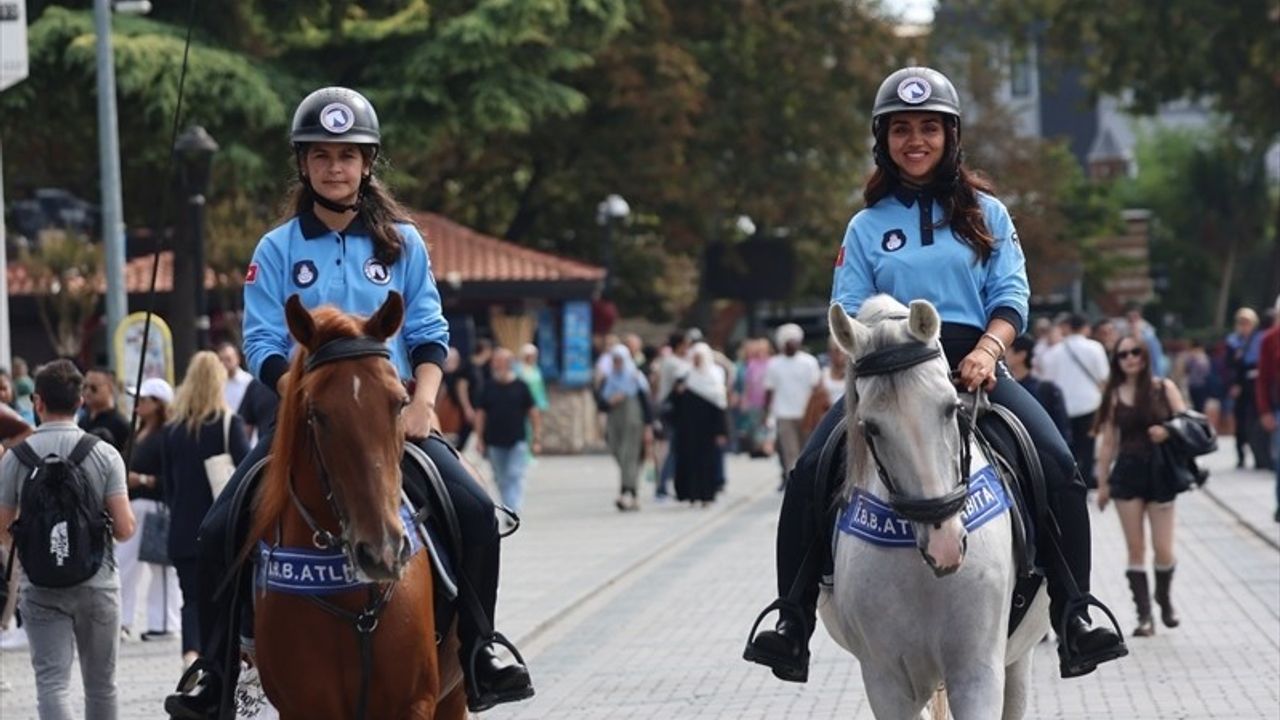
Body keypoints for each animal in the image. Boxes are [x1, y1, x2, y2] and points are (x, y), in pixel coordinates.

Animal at [245, 292, 465, 717]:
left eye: (400, 403)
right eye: (317, 414)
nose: (382, 552)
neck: (352, 602)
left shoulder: (413, 703)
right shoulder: (305, 707)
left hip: (455, 694)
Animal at [819, 294, 1049, 712]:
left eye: (950, 407)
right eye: (871, 426)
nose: (945, 545)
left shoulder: (977, 671)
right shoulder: (887, 683)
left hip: (1017, 658)